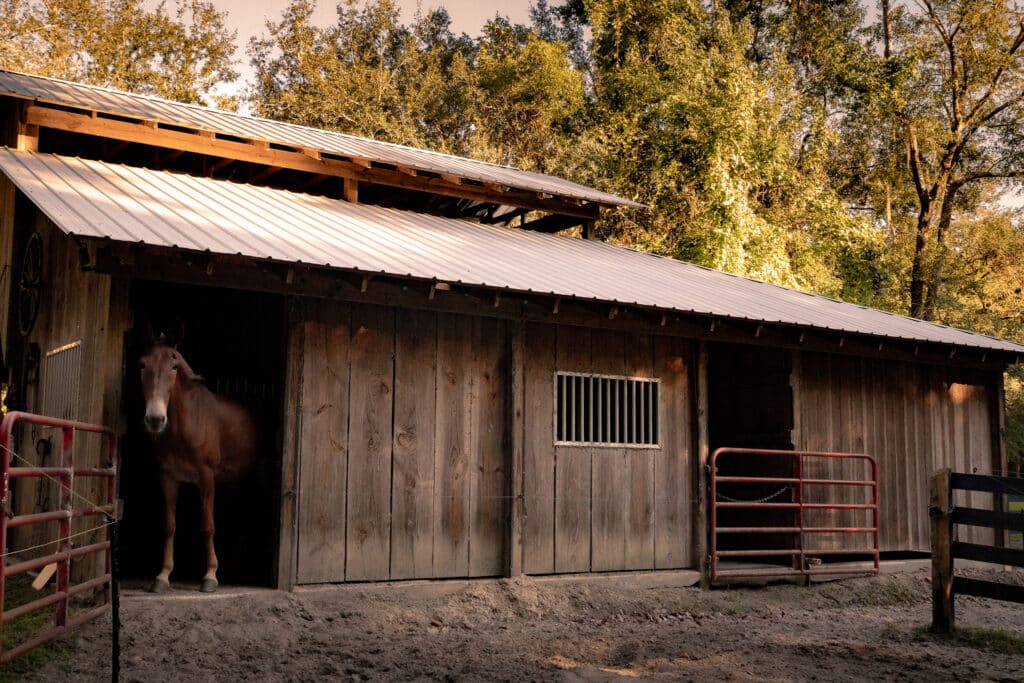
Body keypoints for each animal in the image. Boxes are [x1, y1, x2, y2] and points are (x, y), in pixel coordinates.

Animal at [138, 325, 257, 593]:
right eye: (142, 364)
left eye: (173, 366)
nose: (155, 419)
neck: (185, 425)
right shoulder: (168, 477)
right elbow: (169, 525)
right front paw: (162, 575)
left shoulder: (206, 477)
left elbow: (208, 525)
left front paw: (210, 575)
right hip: (233, 481)